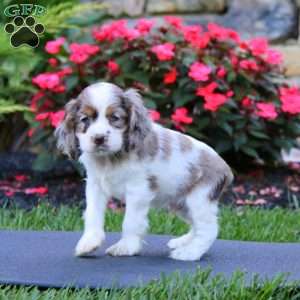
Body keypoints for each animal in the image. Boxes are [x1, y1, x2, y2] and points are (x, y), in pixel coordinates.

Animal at [56, 82, 234, 260]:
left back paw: (189, 252)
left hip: (199, 199)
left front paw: (126, 247)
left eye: (115, 118)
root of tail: (226, 169)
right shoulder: (95, 186)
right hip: (181, 203)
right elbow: (93, 215)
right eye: (84, 119)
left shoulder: (138, 189)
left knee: (209, 229)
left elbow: (131, 222)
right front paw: (88, 244)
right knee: (196, 225)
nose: (99, 138)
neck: (110, 158)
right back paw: (182, 242)